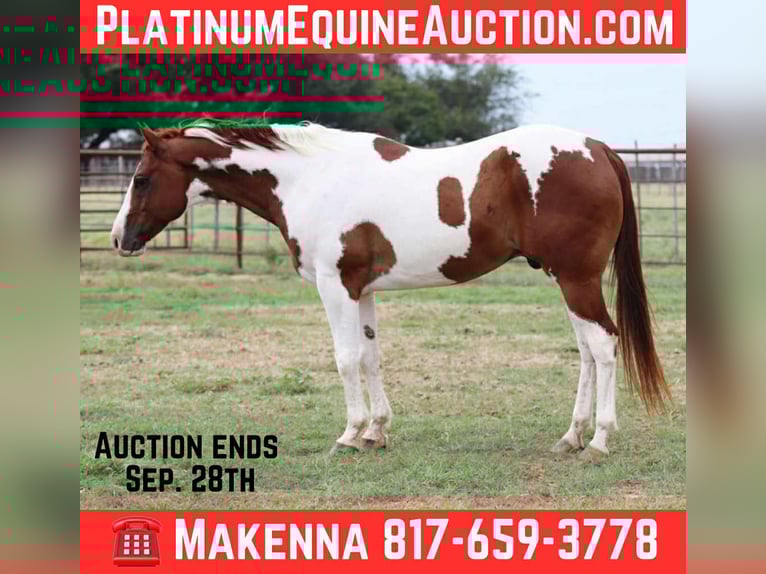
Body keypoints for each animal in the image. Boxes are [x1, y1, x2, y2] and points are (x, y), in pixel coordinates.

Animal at [110, 119, 670, 461]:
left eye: (141, 178)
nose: (119, 239)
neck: (311, 179)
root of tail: (597, 150)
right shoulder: (363, 291)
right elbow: (370, 356)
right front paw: (377, 431)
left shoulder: (335, 287)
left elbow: (344, 360)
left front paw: (349, 434)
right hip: (564, 278)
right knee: (586, 351)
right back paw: (571, 436)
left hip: (576, 279)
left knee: (603, 345)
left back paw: (599, 439)